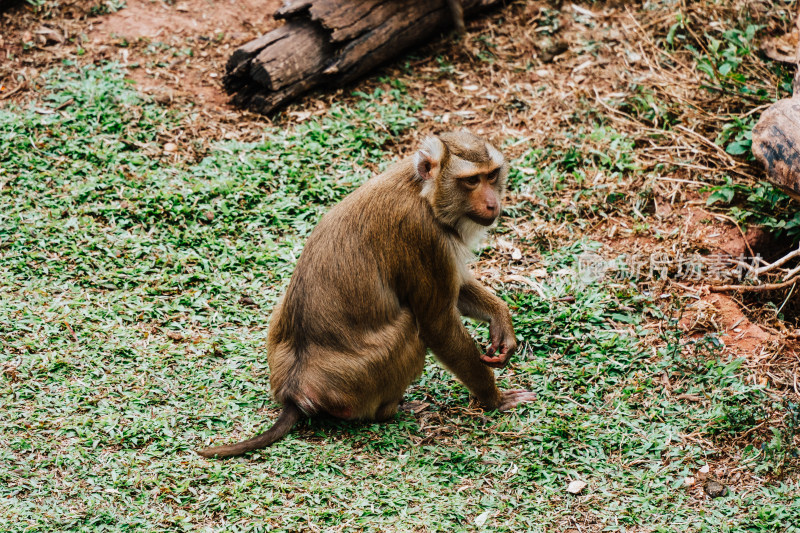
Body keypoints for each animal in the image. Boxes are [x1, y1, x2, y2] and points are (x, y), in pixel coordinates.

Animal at [198, 130, 536, 458]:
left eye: (491, 175)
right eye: (470, 181)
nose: (493, 203)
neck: (422, 193)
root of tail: (295, 391)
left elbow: (458, 289)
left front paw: (501, 322)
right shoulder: (424, 235)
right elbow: (437, 323)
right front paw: (494, 398)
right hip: (360, 384)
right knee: (411, 326)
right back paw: (391, 410)